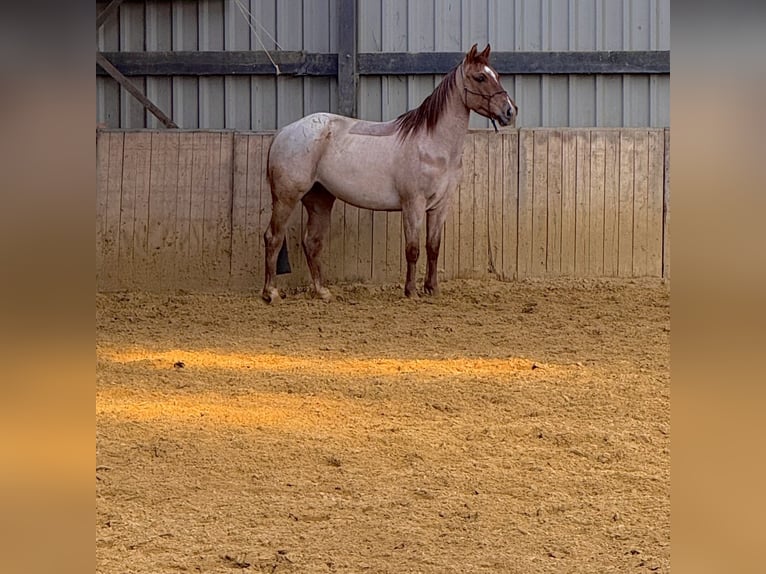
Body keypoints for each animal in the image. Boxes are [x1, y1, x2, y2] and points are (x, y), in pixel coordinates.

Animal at [262, 43, 516, 302]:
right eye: (480, 77)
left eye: (496, 75)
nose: (510, 111)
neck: (432, 146)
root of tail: (284, 131)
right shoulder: (413, 204)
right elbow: (413, 250)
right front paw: (411, 292)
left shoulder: (440, 205)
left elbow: (433, 247)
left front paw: (432, 289)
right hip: (286, 199)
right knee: (273, 237)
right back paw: (271, 293)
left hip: (319, 200)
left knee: (312, 242)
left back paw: (322, 292)